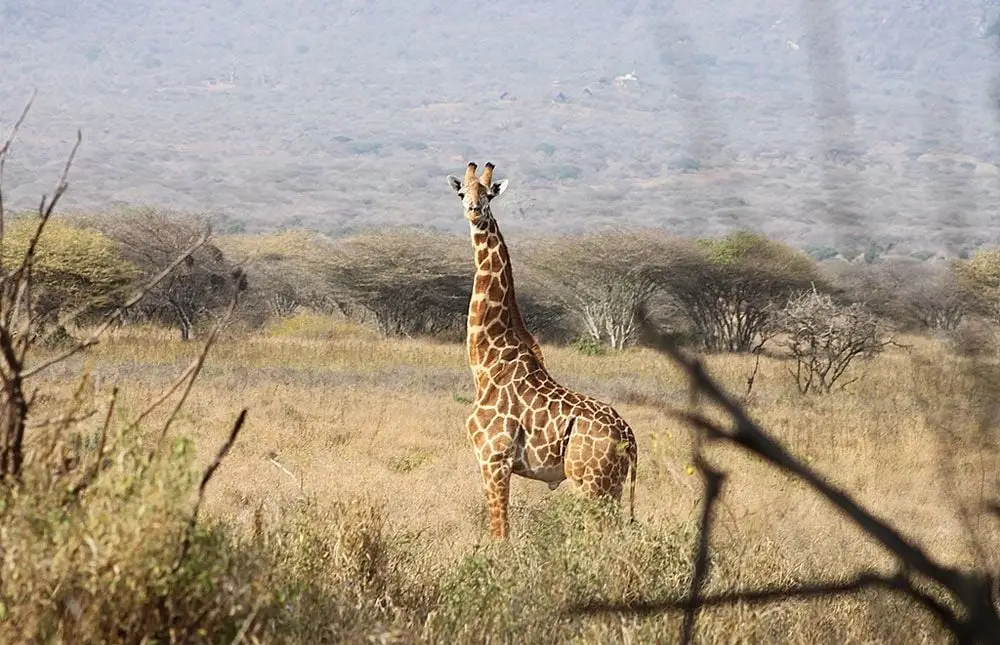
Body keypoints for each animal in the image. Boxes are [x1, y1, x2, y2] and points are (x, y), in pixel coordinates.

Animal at [448, 161, 636, 540]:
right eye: (462, 192)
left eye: (488, 194)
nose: (474, 211)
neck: (485, 363)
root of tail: (631, 439)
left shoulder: (495, 459)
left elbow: (500, 532)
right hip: (612, 485)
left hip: (591, 483)